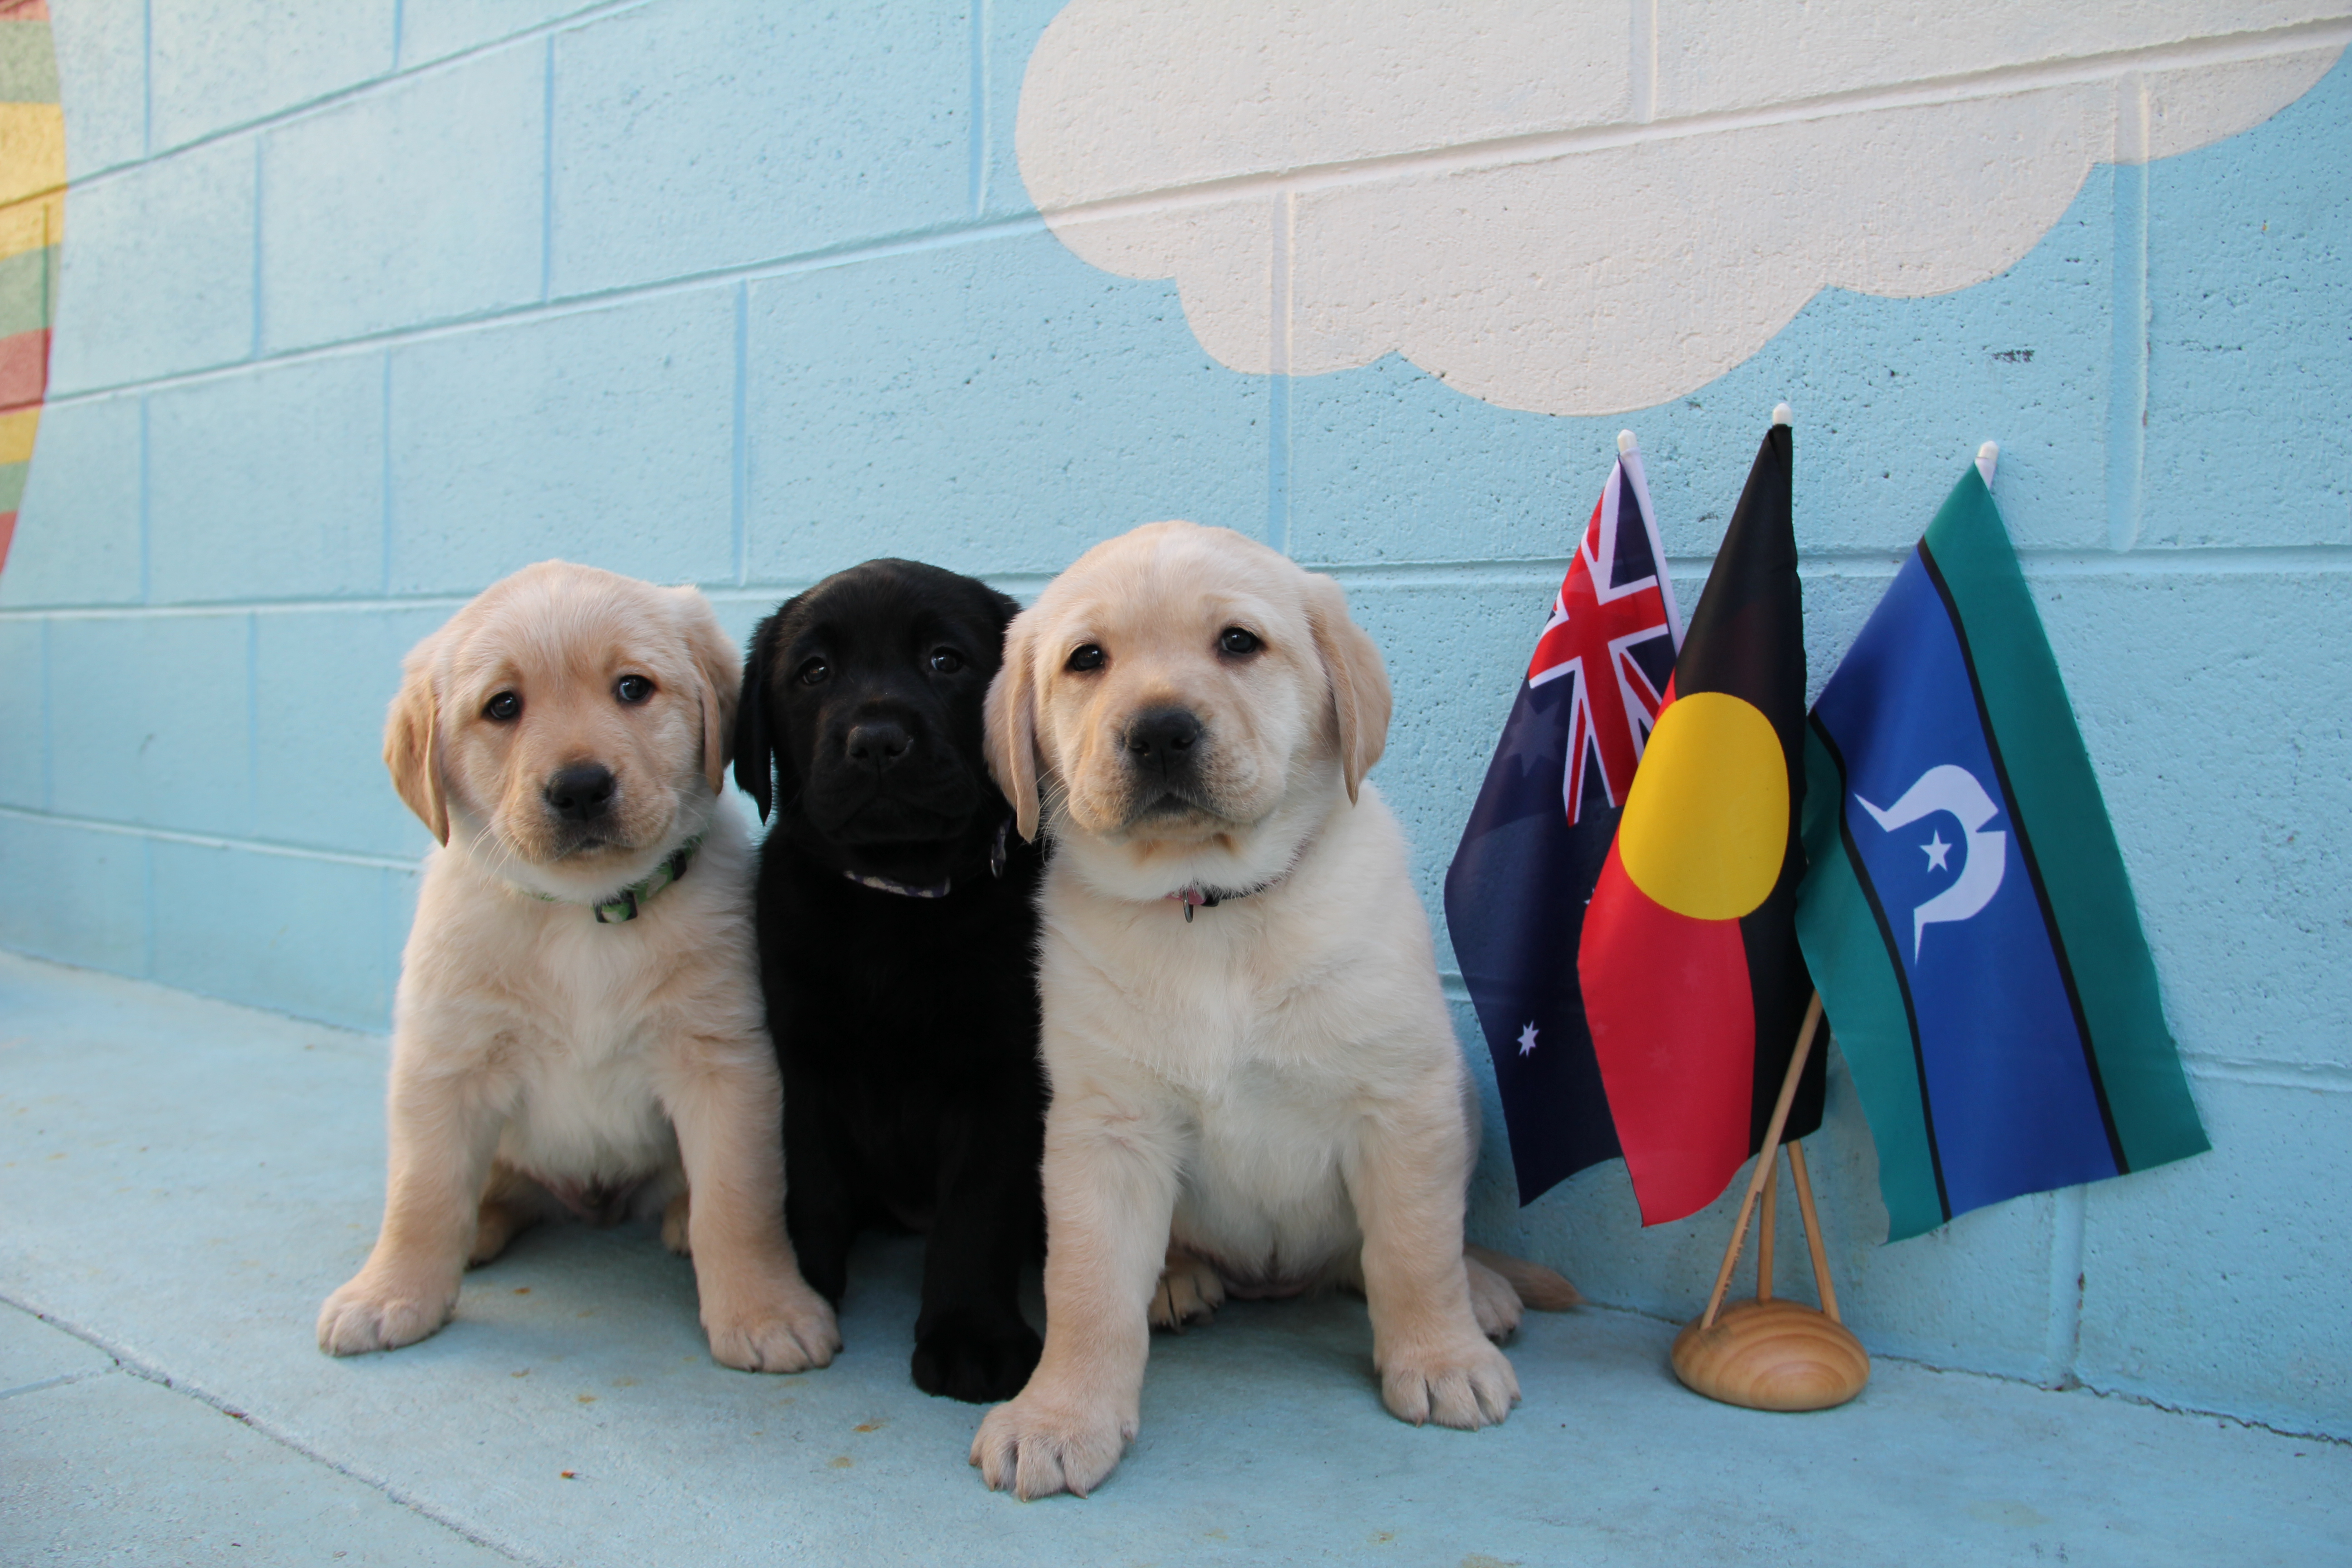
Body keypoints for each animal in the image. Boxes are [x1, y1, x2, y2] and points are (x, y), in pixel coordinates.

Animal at [317, 562, 842, 1372]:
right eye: (503, 706)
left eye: (633, 688)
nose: (581, 787)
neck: (585, 915)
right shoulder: (443, 1064)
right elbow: (421, 1195)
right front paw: (389, 1295)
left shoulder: (725, 1065)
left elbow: (739, 1201)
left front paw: (765, 1310)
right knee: (488, 1189)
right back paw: (480, 1228)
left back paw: (678, 1221)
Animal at [724, 557, 1039, 1401]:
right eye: (813, 672)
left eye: (945, 660)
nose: (876, 742)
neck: (898, 897)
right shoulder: (800, 1059)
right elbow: (808, 1181)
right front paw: (794, 1289)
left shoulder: (1003, 1075)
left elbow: (976, 1211)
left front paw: (969, 1333)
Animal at [974, 524, 1580, 1495]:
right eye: (1086, 660)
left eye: (1237, 643)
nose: (1159, 730)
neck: (1213, 905)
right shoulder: (1106, 1129)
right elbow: (1086, 1289)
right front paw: (1058, 1416)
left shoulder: (1399, 1100)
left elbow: (1413, 1249)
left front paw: (1440, 1359)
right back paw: (1176, 1278)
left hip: (1458, 1097)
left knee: (1396, 1252)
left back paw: (1481, 1293)